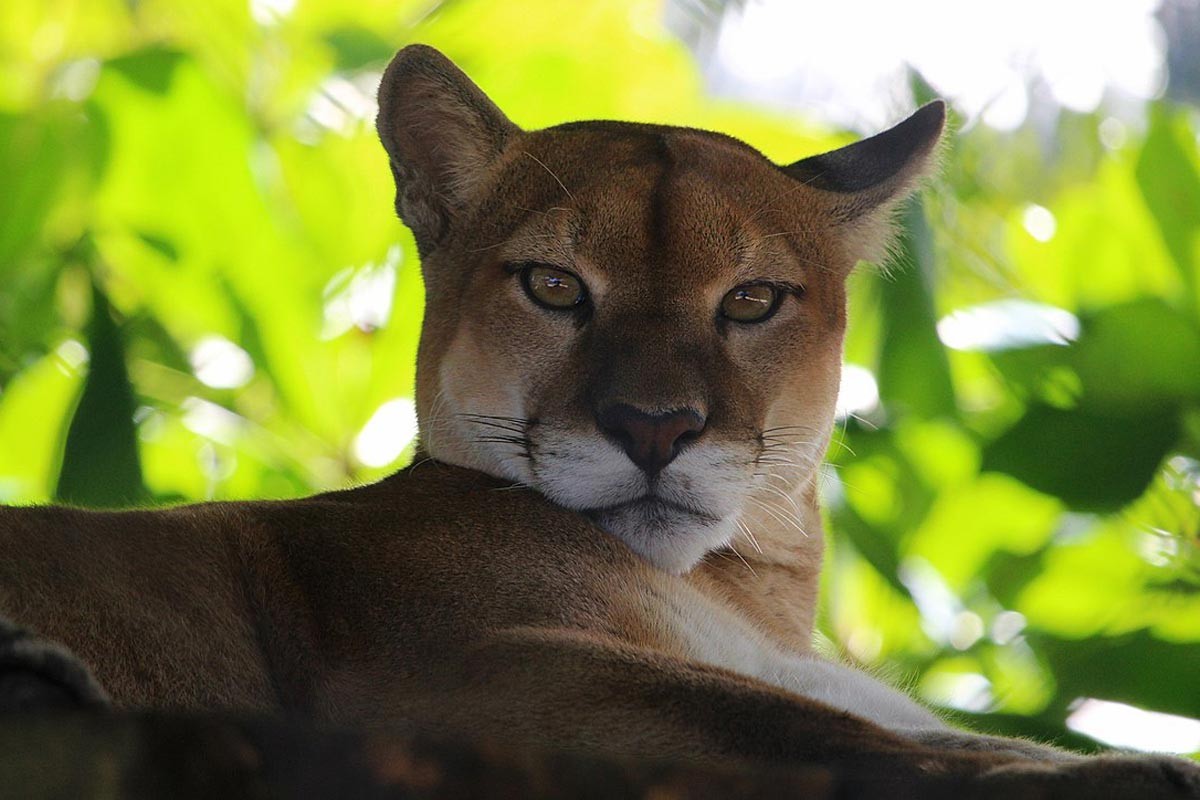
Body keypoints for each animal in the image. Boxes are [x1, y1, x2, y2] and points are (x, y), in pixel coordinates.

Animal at [0, 45, 1195, 800]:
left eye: (750, 300)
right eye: (555, 286)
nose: (655, 428)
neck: (744, 597)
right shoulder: (444, 671)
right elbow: (799, 725)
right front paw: (1119, 769)